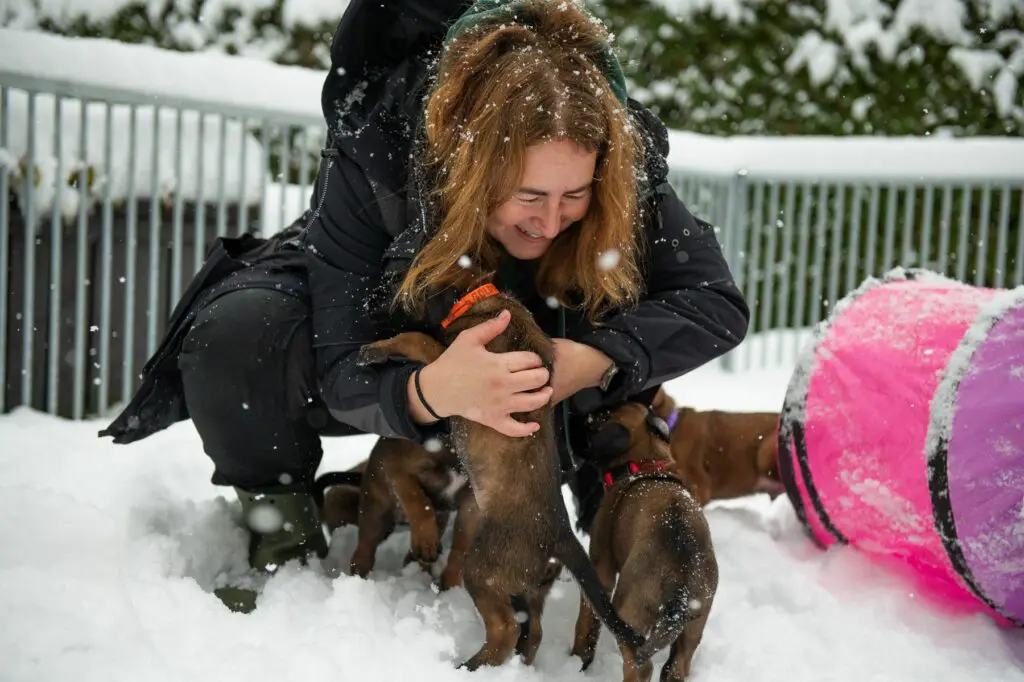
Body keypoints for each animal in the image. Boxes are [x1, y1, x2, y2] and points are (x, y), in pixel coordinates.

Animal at [356, 282, 643, 667]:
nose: (369, 304)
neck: (478, 297)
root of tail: (561, 537)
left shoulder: (457, 366)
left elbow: (416, 337)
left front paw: (376, 350)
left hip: (482, 570)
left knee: (505, 629)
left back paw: (469, 666)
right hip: (528, 587)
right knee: (531, 632)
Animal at [573, 401, 716, 675]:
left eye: (603, 417)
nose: (586, 414)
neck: (646, 463)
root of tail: (682, 583)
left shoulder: (601, 567)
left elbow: (586, 621)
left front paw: (577, 657)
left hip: (629, 611)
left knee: (640, 665)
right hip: (695, 625)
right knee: (678, 665)